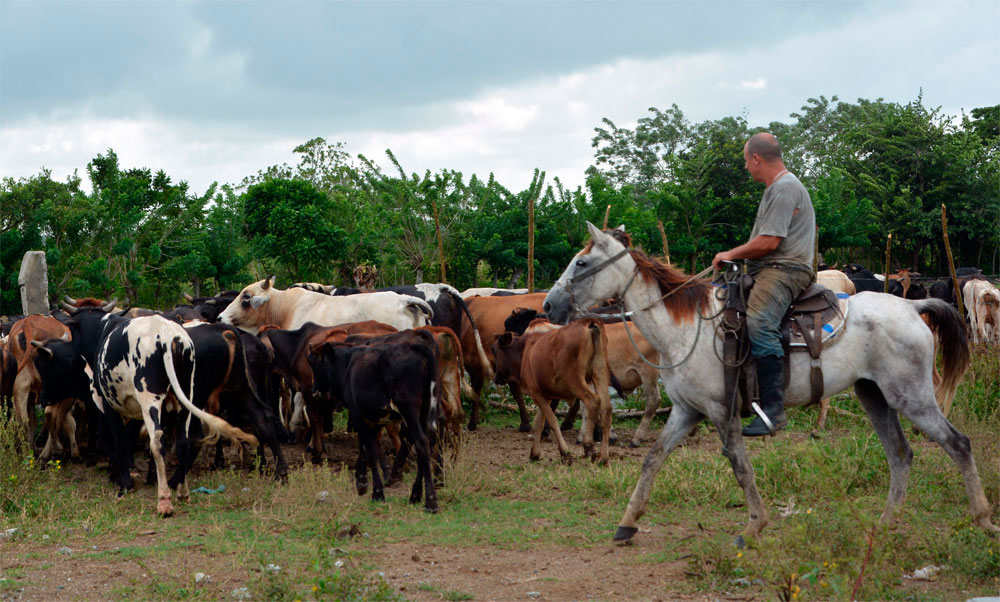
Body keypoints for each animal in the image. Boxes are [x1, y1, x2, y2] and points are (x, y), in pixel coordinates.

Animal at [490, 316, 608, 462]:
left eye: (494, 350)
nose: (496, 378)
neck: (525, 350)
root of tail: (588, 322)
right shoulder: (544, 394)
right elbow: (539, 422)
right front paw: (535, 452)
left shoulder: (536, 393)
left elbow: (552, 420)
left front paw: (565, 452)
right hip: (600, 373)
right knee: (607, 409)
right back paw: (604, 457)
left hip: (575, 380)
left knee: (593, 402)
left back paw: (588, 446)